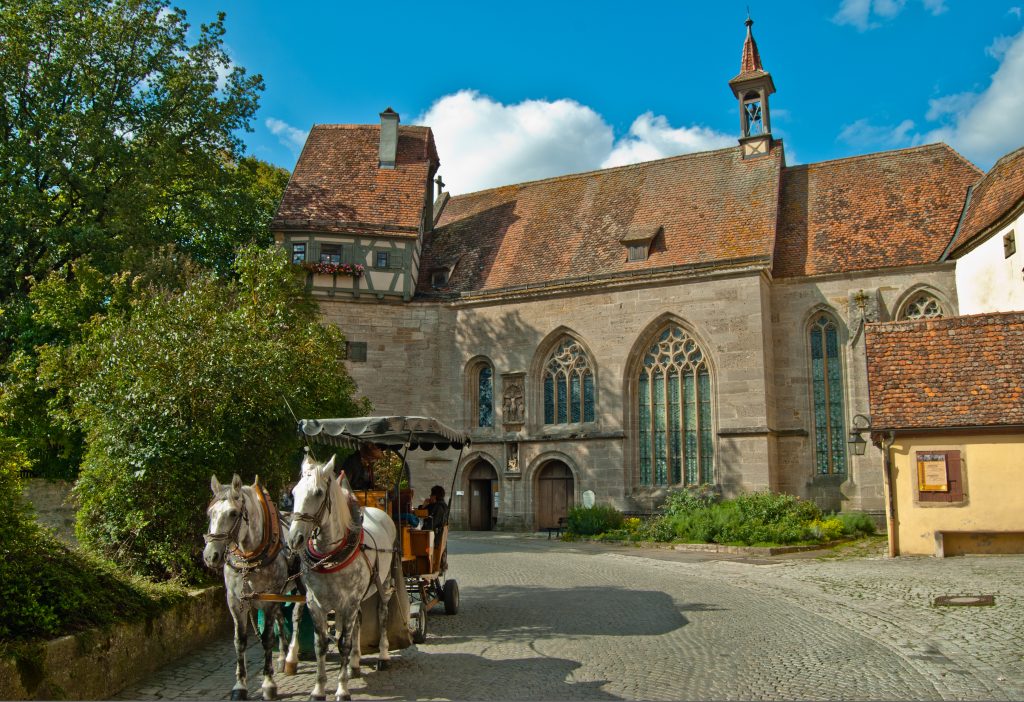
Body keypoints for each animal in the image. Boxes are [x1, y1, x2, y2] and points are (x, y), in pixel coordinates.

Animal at [203, 474, 305, 699]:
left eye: (233, 513)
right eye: (210, 513)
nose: (210, 556)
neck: (250, 559)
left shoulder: (268, 601)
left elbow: (267, 639)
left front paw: (268, 683)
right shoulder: (236, 602)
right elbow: (239, 641)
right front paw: (240, 685)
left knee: (295, 615)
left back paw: (291, 657)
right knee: (281, 618)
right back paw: (282, 657)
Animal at [290, 454, 401, 699]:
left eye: (318, 493)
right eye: (294, 492)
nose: (294, 538)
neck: (330, 556)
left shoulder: (348, 602)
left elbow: (343, 644)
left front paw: (342, 689)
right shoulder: (315, 604)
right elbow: (321, 645)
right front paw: (319, 689)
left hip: (382, 582)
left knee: (382, 614)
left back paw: (383, 656)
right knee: (357, 622)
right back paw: (355, 664)